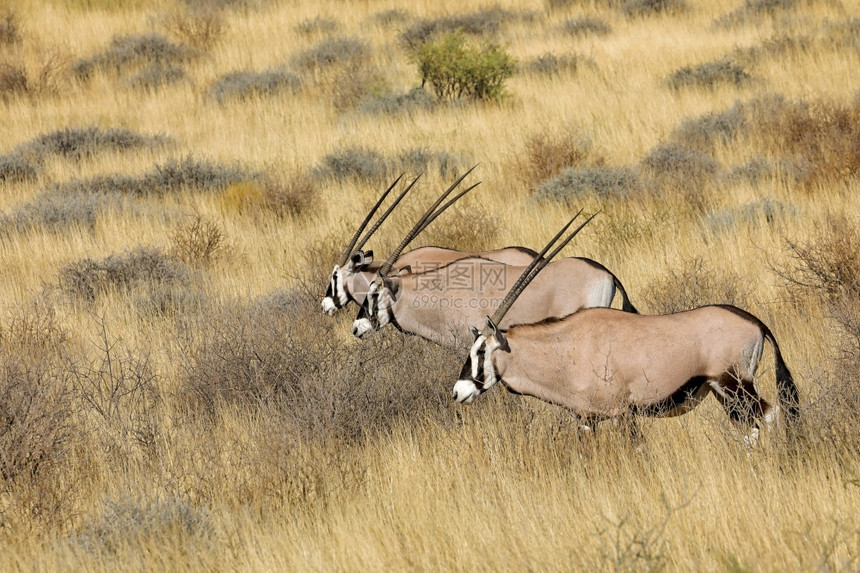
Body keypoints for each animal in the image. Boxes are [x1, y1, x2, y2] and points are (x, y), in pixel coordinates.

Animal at [454, 216, 804, 442]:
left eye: (481, 350)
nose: (458, 392)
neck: (565, 347)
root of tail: (755, 321)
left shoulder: (622, 413)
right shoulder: (587, 419)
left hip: (734, 384)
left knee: (769, 417)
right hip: (723, 392)